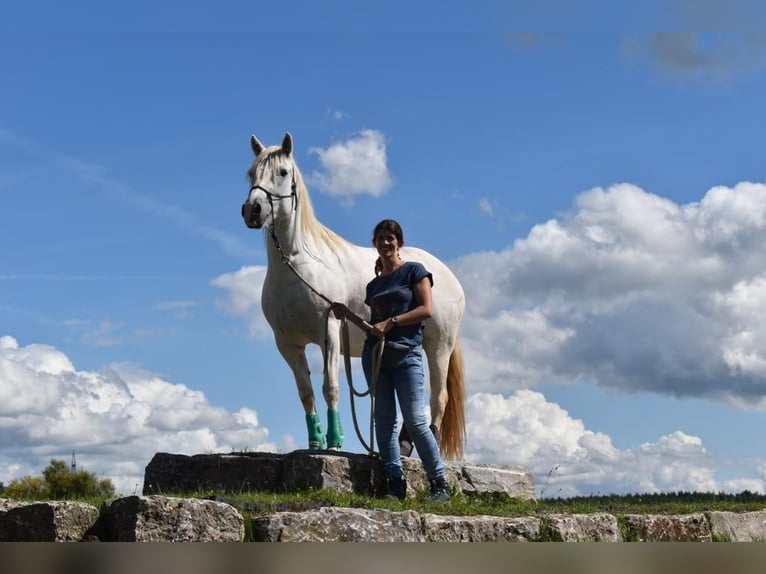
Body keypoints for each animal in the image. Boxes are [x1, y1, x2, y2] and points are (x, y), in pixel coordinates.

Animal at [240, 133, 468, 462]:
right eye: (251, 173)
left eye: (282, 172)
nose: (252, 211)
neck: (299, 264)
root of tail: (446, 274)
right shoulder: (288, 344)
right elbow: (306, 392)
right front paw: (315, 442)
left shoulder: (331, 330)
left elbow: (331, 387)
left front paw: (335, 442)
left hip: (439, 345)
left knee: (439, 397)